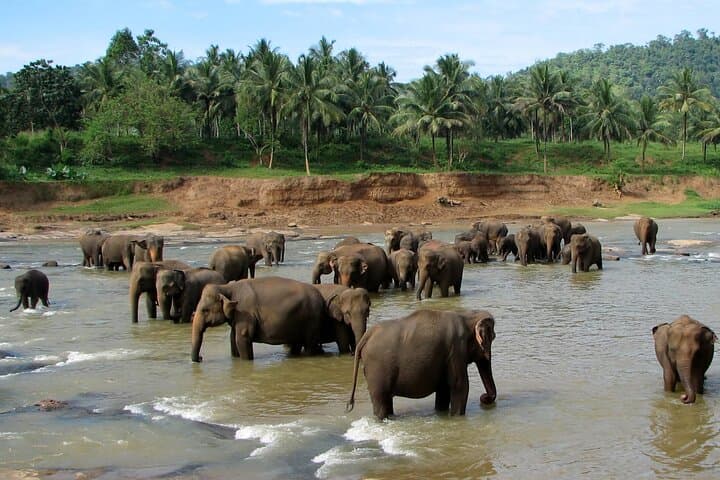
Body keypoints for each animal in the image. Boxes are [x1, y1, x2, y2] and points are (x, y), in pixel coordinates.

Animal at [191, 276, 329, 362]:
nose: (201, 358)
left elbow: (242, 338)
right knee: (297, 343)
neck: (226, 287)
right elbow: (233, 339)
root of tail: (320, 297)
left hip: (312, 319)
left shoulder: (245, 312)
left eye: (205, 310)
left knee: (309, 344)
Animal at [346, 309, 497, 420]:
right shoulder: (456, 349)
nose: (483, 397)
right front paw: (456, 418)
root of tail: (366, 336)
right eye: (493, 337)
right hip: (377, 369)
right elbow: (460, 386)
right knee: (381, 401)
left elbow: (443, 390)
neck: (467, 315)